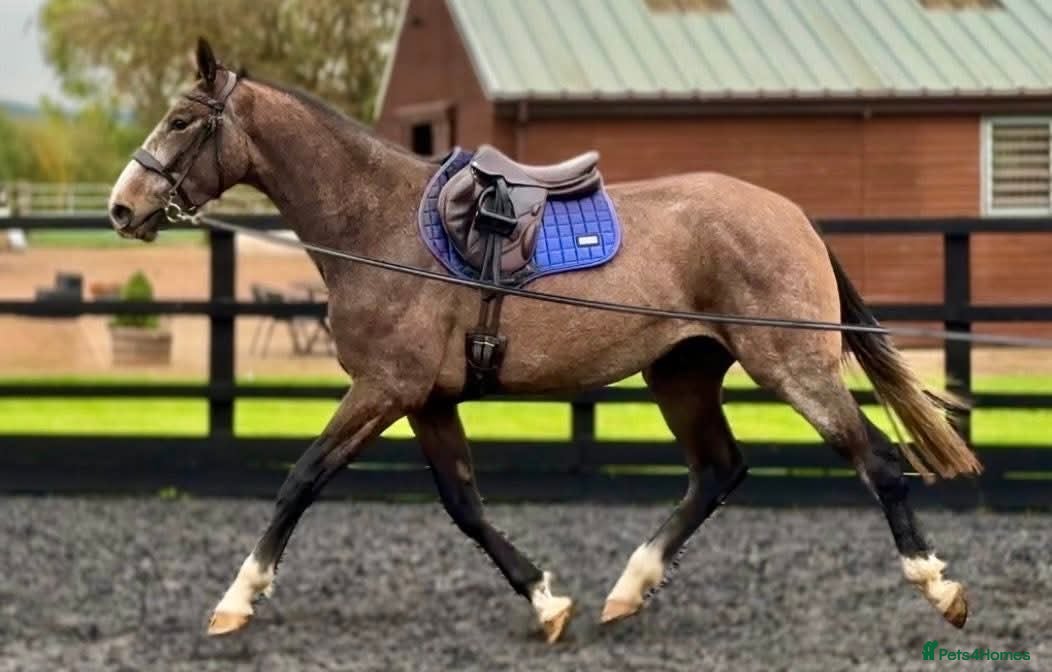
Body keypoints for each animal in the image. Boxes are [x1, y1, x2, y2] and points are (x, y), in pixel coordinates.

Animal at [108, 39, 981, 643]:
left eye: (181, 121)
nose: (121, 207)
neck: (377, 224)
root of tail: (792, 215)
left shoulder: (384, 389)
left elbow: (301, 480)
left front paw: (235, 601)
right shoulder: (426, 399)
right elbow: (464, 504)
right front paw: (547, 600)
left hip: (793, 366)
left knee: (875, 460)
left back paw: (939, 587)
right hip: (683, 372)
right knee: (718, 471)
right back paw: (628, 589)